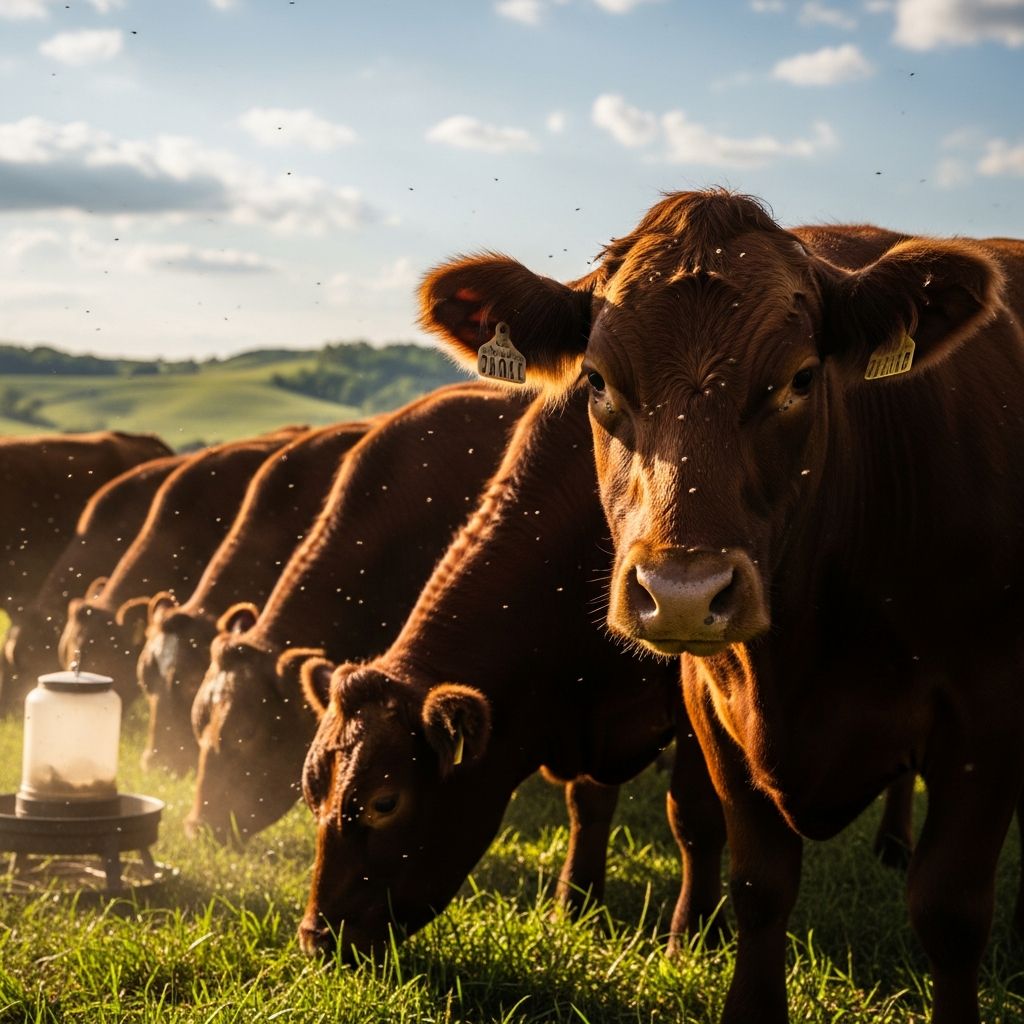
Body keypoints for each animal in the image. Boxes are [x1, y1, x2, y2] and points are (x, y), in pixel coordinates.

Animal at [297, 389, 727, 961]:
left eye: (383, 801)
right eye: (310, 791)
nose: (316, 938)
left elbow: (694, 816)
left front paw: (694, 938)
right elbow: (587, 804)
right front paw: (574, 904)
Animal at [418, 188, 1024, 1024]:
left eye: (801, 378)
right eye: (598, 381)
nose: (681, 594)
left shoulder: (988, 717)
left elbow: (951, 909)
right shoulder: (712, 704)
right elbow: (755, 882)